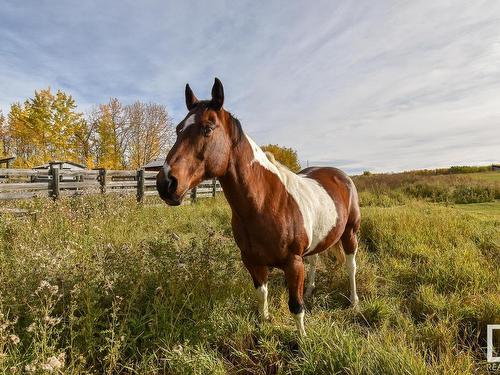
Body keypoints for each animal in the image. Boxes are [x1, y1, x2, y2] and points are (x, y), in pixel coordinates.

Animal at [156, 78, 360, 336]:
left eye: (208, 128)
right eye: (178, 129)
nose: (166, 183)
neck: (265, 204)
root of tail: (341, 176)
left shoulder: (293, 264)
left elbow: (296, 306)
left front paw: (302, 338)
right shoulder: (252, 261)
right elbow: (261, 292)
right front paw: (264, 321)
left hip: (350, 233)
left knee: (351, 267)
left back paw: (354, 301)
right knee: (315, 260)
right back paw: (311, 289)